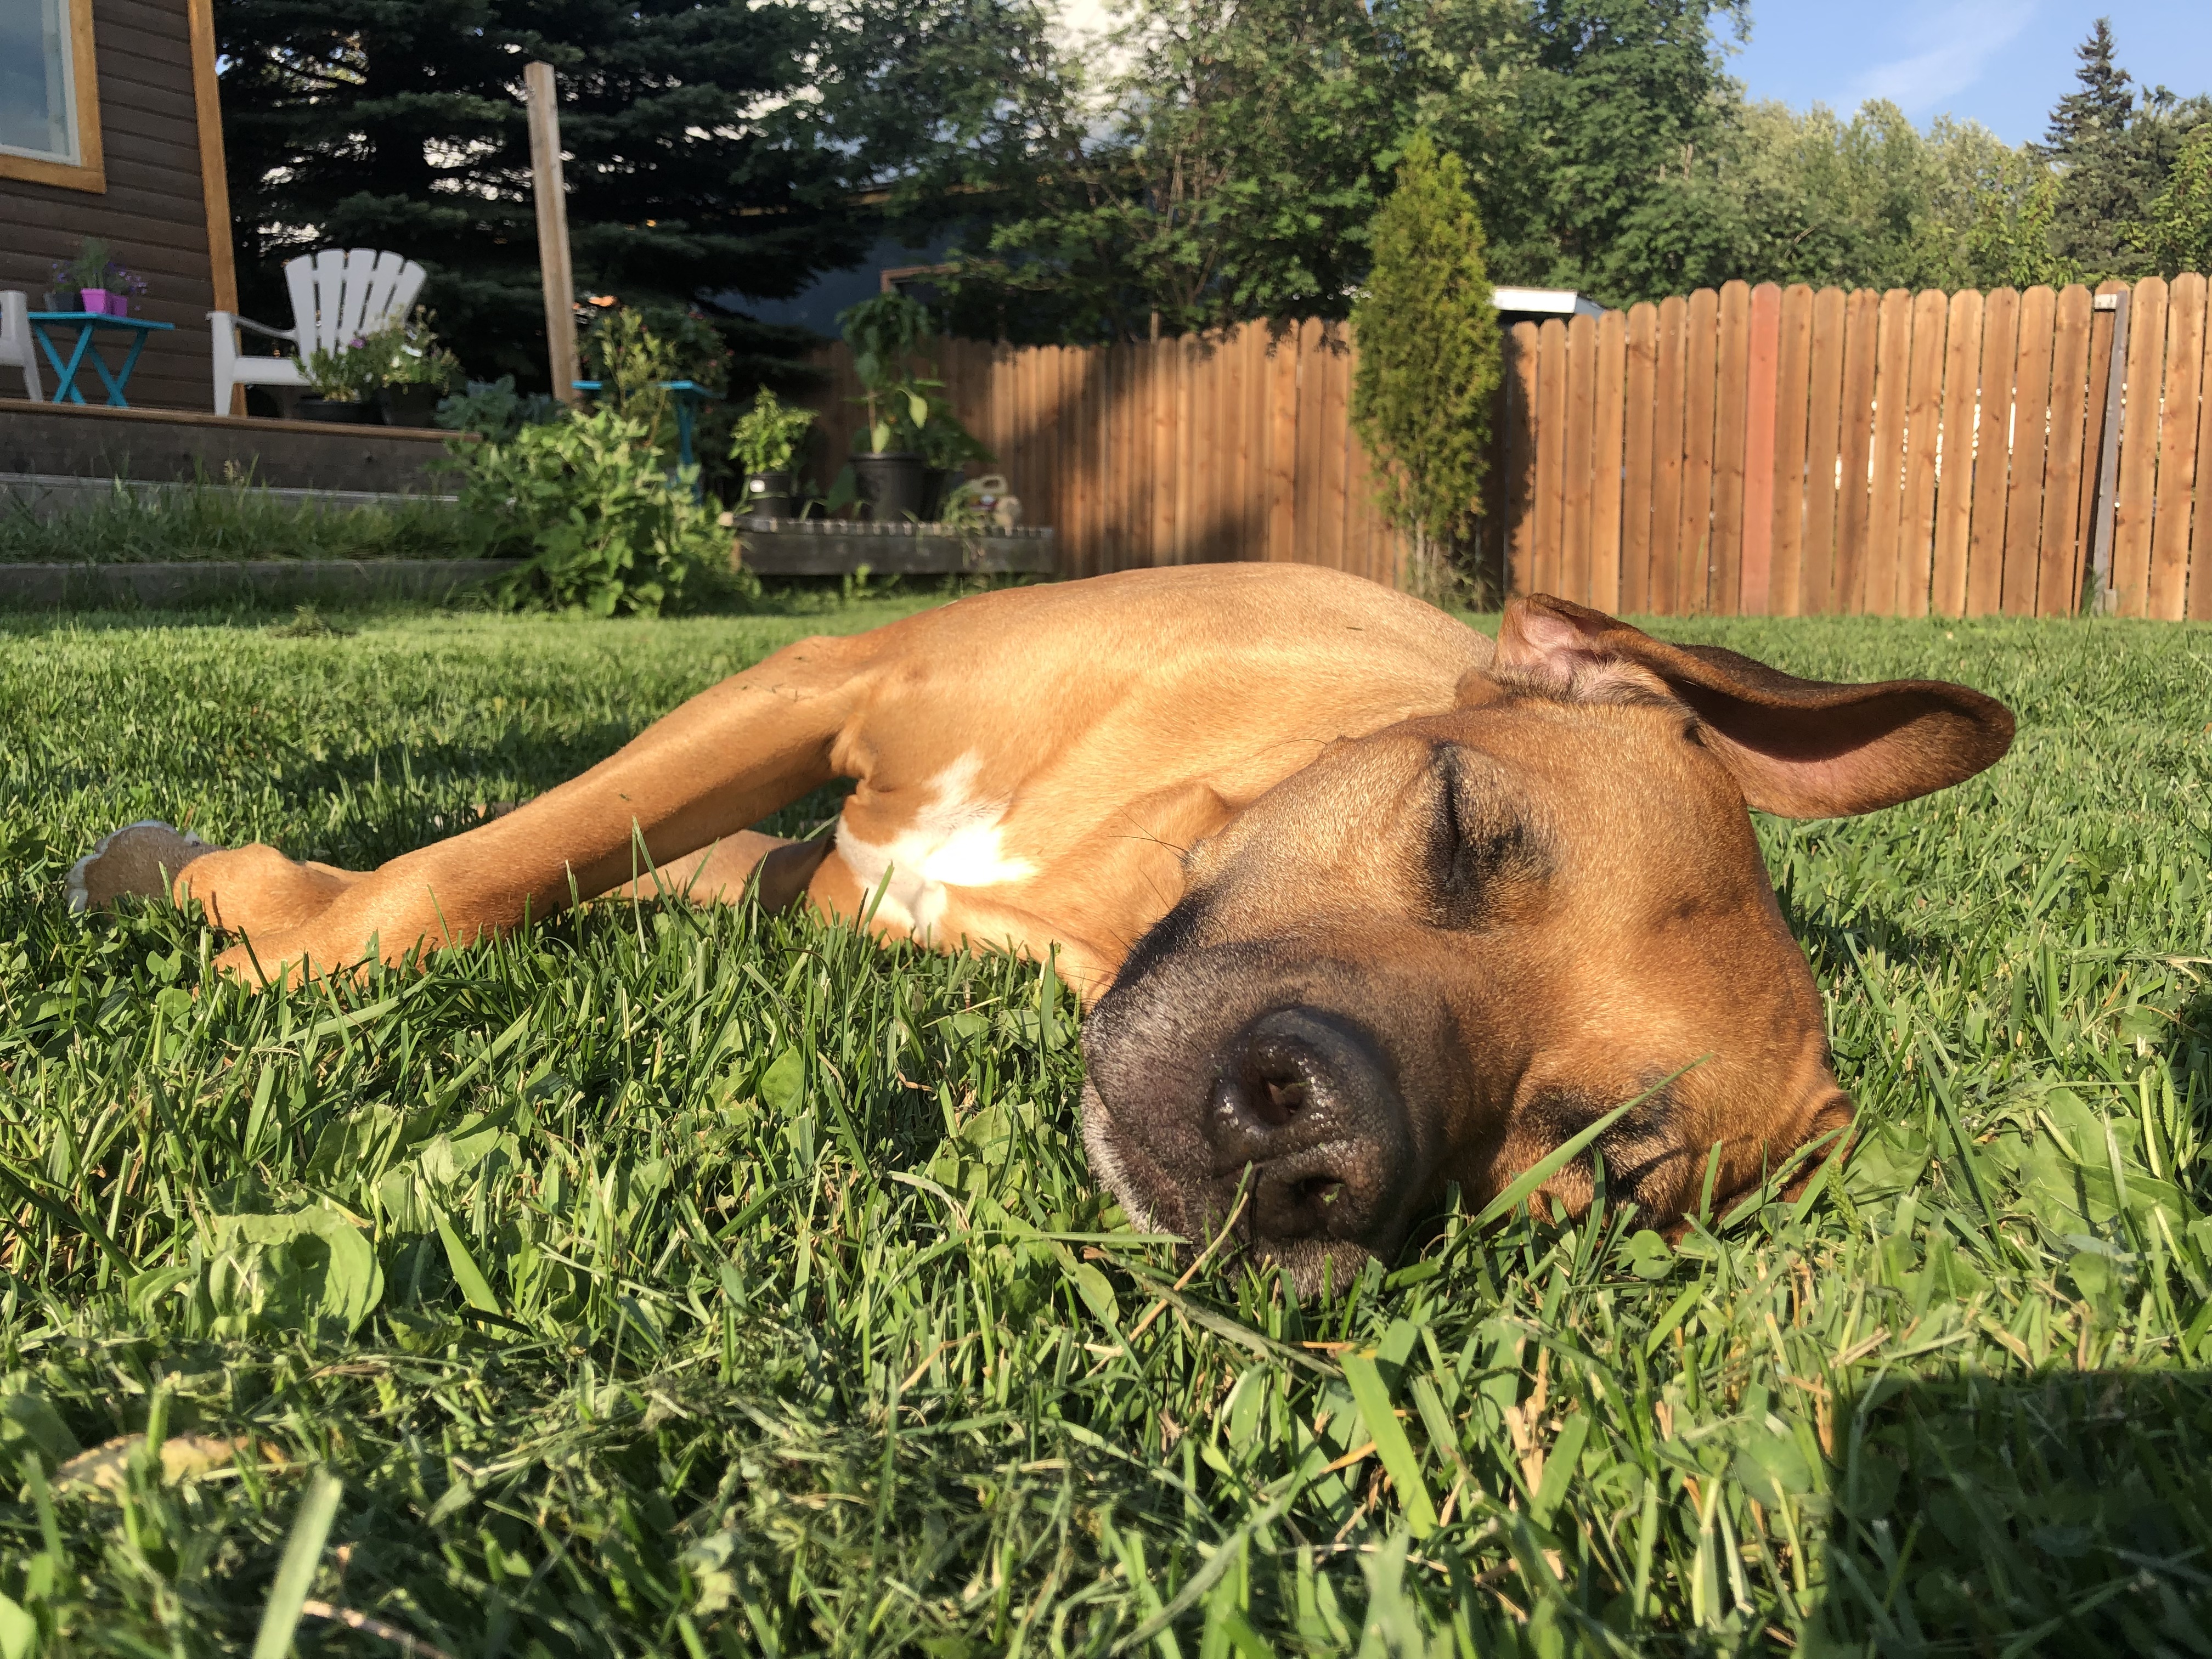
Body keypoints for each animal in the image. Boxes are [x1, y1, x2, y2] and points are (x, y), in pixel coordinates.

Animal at [71, 564, 2013, 1287]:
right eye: (1466, 829)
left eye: (1597, 1167)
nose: (1319, 1151)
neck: (1117, 859)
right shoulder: (822, 681)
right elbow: (491, 867)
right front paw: (256, 902)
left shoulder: (826, 873)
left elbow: (584, 866)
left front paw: (245, 892)